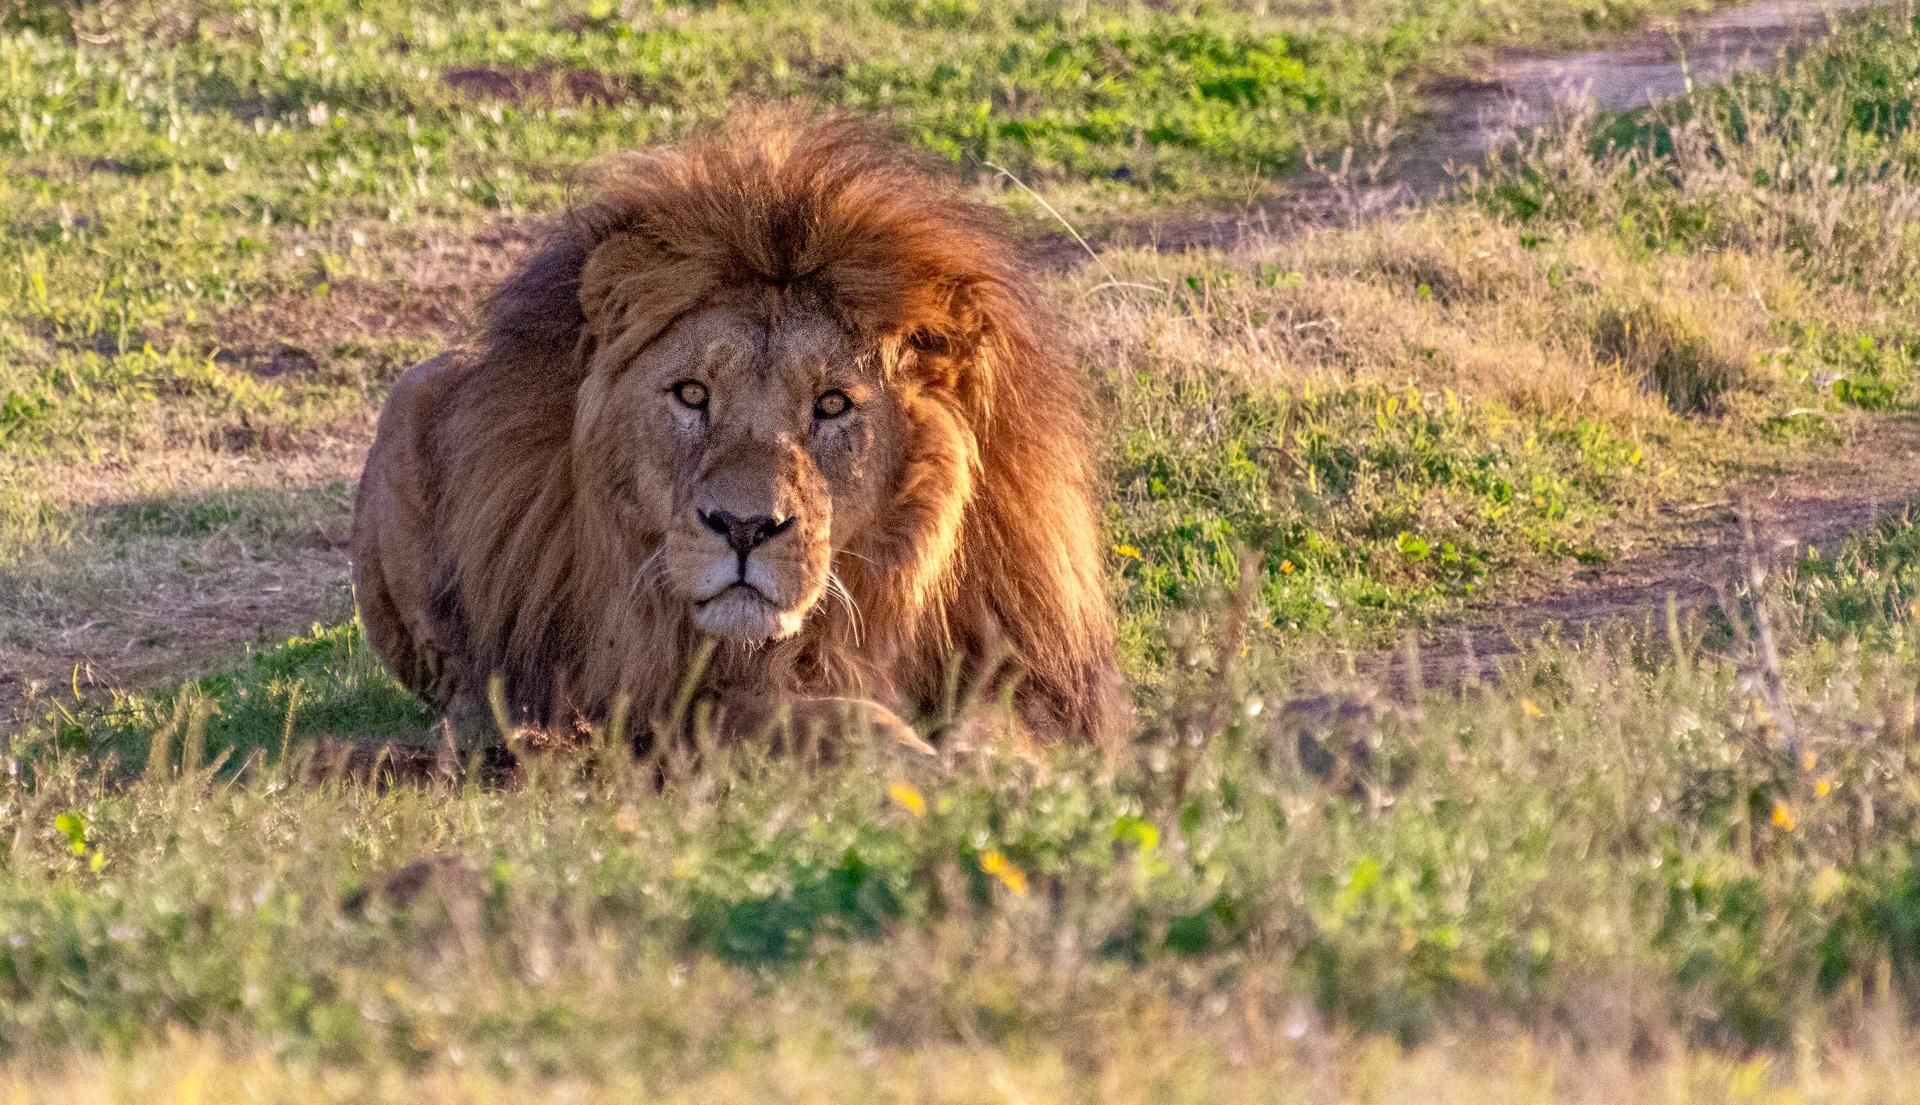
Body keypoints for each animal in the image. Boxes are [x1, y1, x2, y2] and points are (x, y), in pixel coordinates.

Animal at [350, 114, 1124, 752]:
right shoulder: (664, 702)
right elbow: (813, 718)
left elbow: (1006, 723)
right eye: (692, 394)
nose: (745, 527)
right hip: (410, 394)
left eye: (832, 405)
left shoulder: (1024, 663)